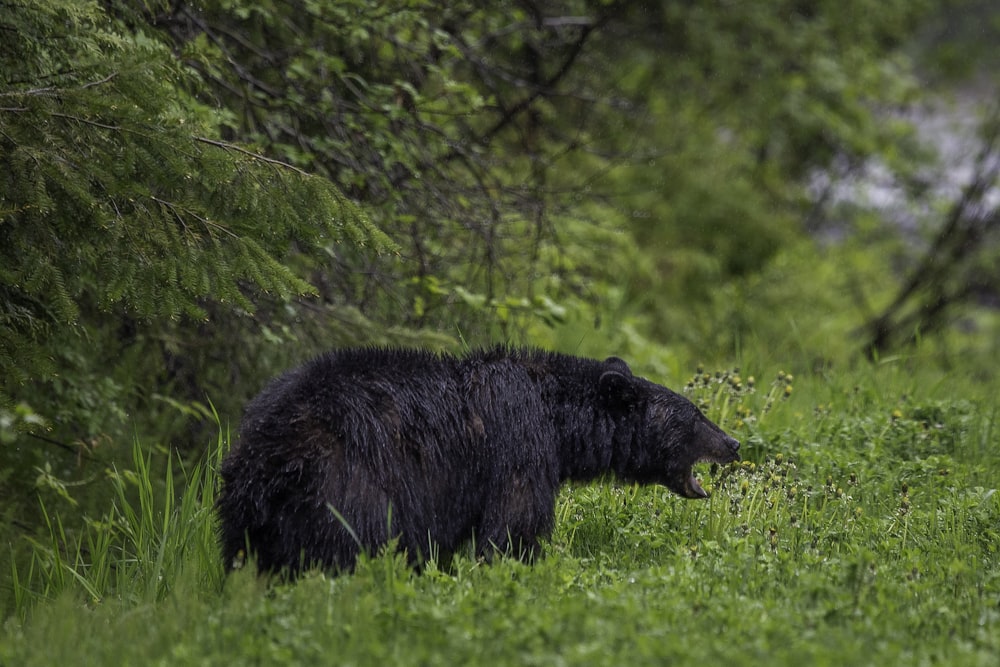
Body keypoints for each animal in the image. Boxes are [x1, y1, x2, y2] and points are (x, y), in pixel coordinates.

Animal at [217, 350, 736, 576]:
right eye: (695, 415)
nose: (732, 442)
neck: (555, 416)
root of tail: (269, 456)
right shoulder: (518, 444)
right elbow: (513, 525)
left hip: (246, 514)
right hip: (345, 485)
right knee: (349, 548)